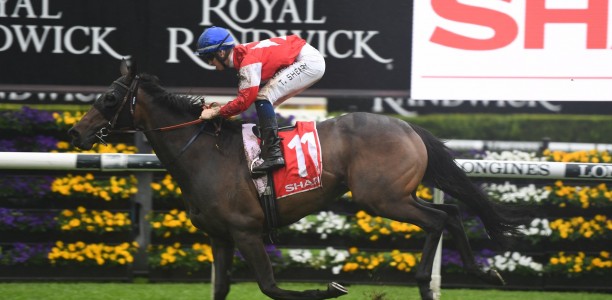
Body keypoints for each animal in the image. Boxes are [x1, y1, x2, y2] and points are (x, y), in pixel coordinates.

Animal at [68, 59, 524, 298]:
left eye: (110, 97)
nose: (75, 133)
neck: (204, 154)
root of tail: (409, 127)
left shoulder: (247, 231)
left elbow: (271, 286)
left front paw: (330, 288)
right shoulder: (220, 236)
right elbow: (220, 289)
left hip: (382, 198)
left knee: (441, 219)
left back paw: (439, 280)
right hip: (396, 195)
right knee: (449, 213)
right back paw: (456, 278)